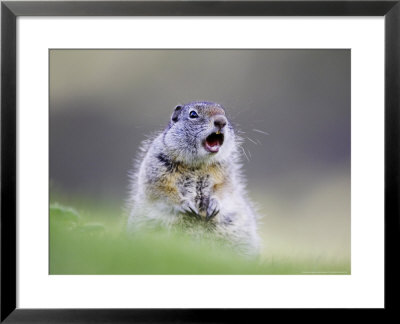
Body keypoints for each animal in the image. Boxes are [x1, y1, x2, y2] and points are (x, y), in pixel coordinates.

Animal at [126, 101, 260, 256]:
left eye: (224, 113)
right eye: (193, 114)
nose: (221, 121)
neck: (198, 164)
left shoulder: (227, 172)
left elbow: (225, 188)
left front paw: (215, 203)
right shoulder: (155, 167)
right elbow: (161, 190)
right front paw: (185, 204)